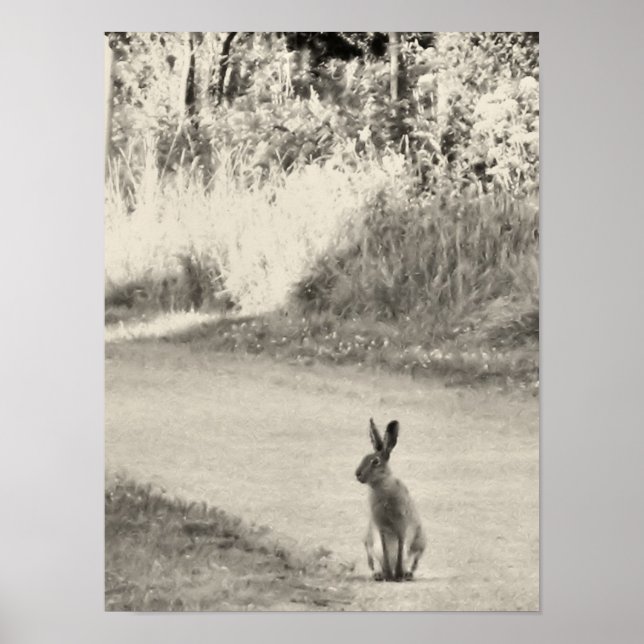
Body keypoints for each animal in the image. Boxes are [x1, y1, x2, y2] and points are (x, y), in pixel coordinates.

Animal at [355, 418, 426, 581]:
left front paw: (398, 575)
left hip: (418, 543)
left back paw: (405, 574)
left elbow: (400, 550)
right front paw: (388, 574)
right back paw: (380, 574)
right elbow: (385, 551)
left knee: (412, 560)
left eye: (375, 462)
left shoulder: (402, 525)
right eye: (364, 457)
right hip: (370, 543)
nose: (357, 474)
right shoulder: (380, 528)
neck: (382, 485)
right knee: (375, 561)